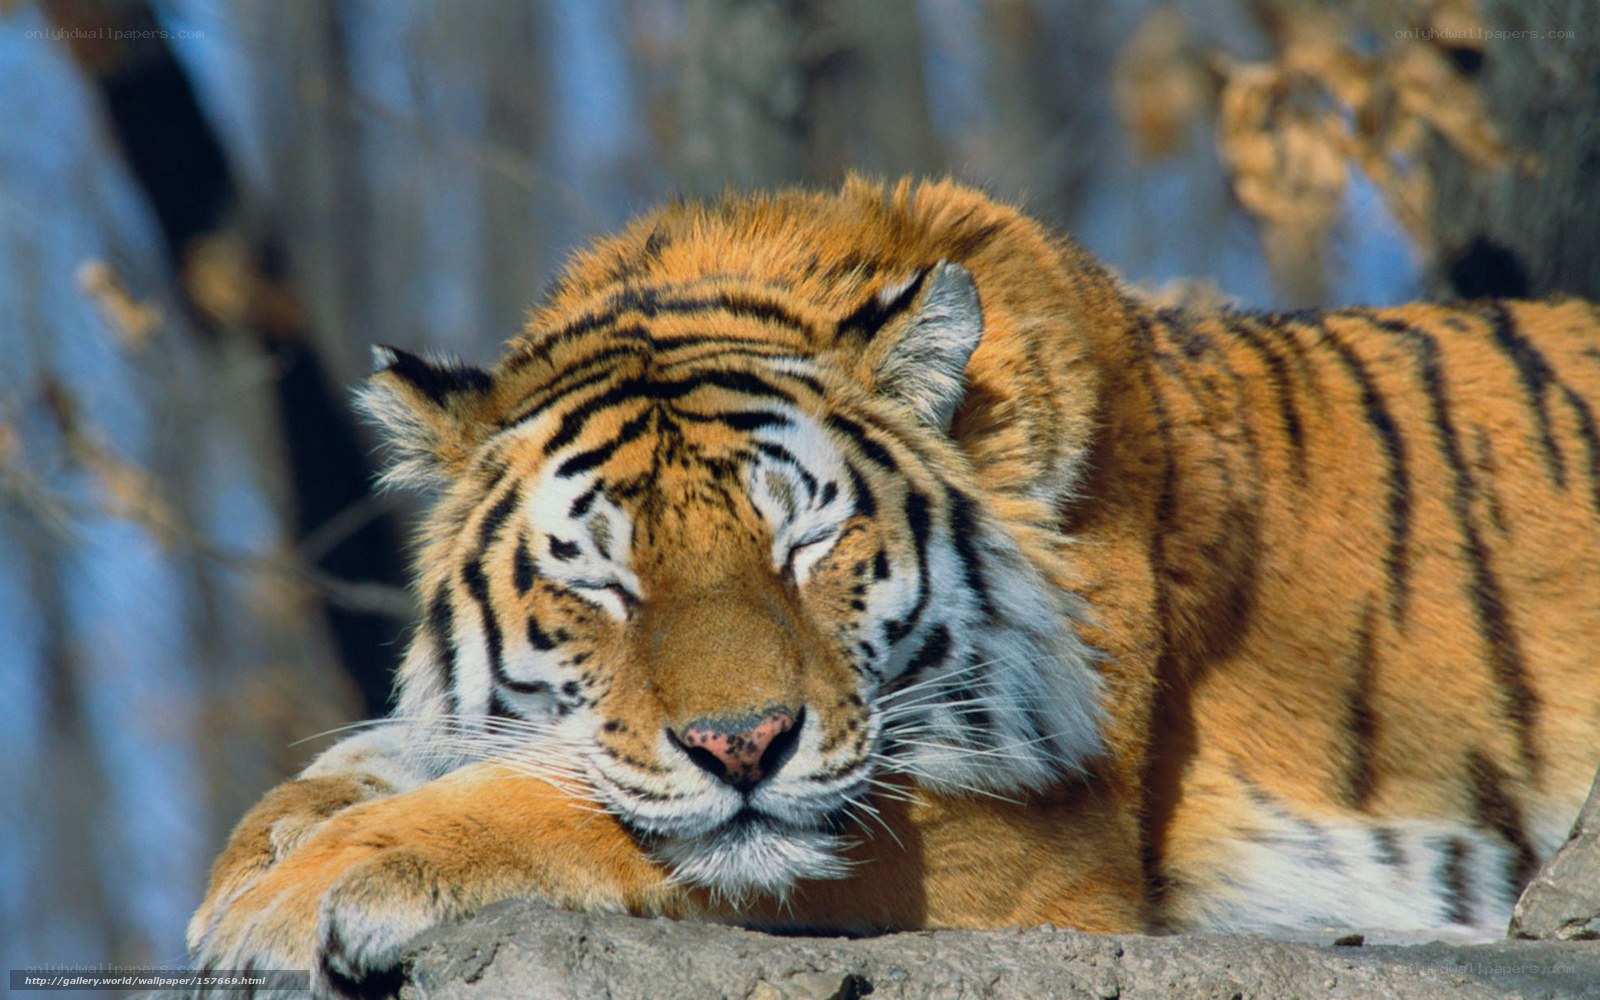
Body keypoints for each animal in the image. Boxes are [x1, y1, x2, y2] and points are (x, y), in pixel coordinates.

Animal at [188, 177, 1600, 995]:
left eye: (804, 547)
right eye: (606, 581)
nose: (742, 744)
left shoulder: (1028, 844)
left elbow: (563, 811)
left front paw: (293, 894)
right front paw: (264, 849)